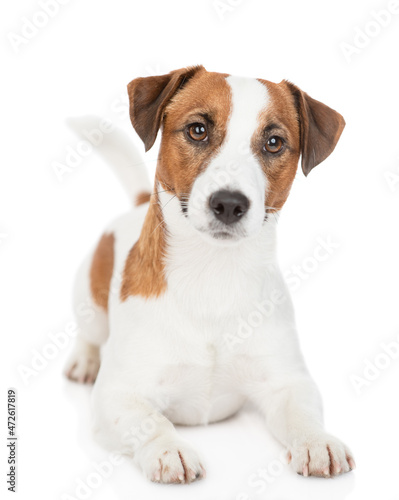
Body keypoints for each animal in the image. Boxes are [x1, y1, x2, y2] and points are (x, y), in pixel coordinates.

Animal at [65, 66, 356, 484]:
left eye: (273, 142)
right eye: (198, 130)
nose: (230, 203)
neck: (213, 274)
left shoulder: (289, 382)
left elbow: (302, 412)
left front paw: (317, 441)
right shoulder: (117, 394)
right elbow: (153, 422)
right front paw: (169, 449)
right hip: (90, 303)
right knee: (88, 334)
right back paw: (84, 361)